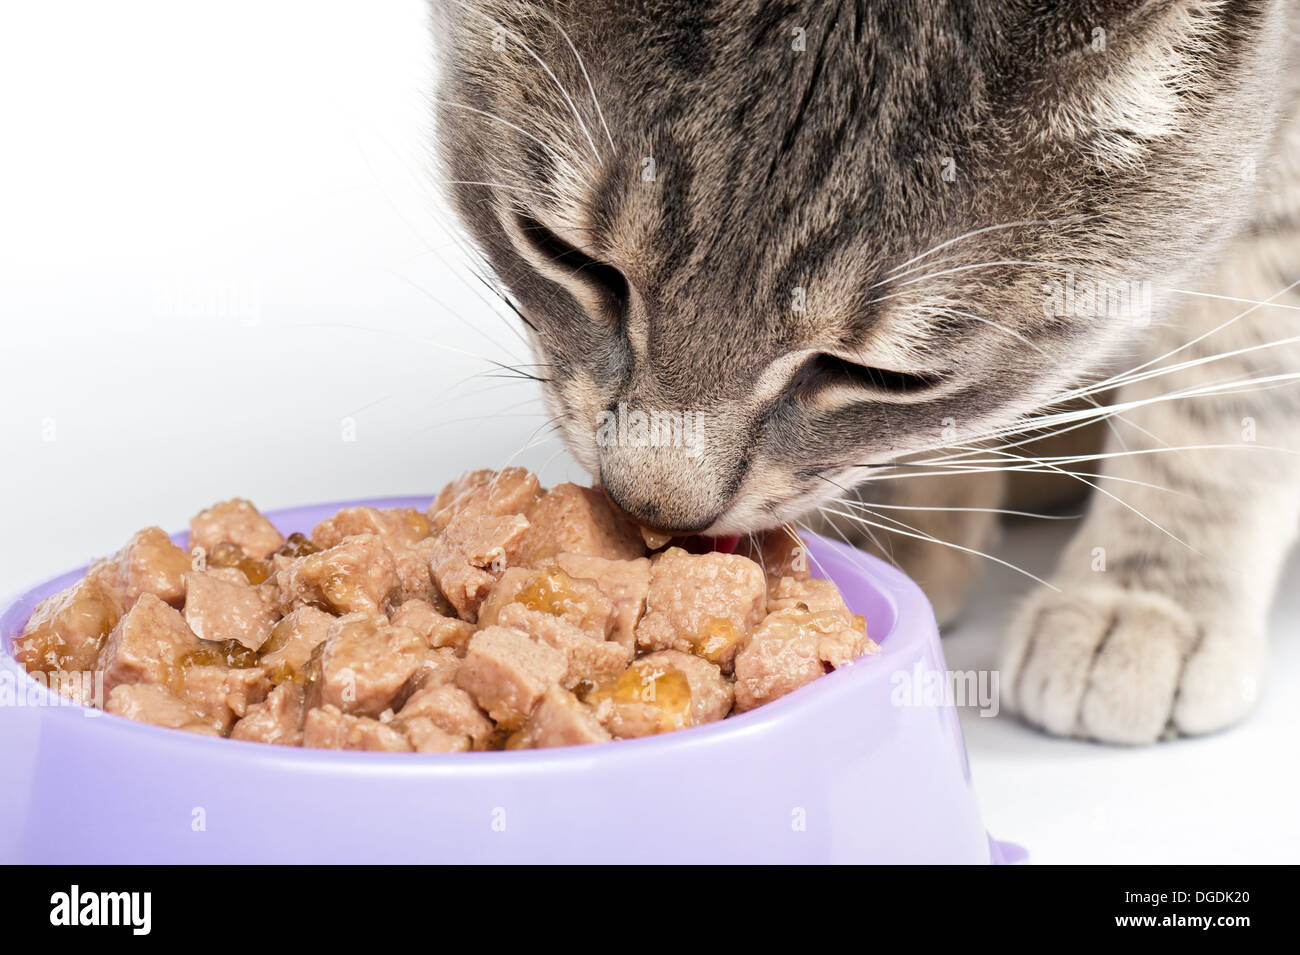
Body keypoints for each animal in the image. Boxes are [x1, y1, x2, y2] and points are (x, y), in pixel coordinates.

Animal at [434, 0, 1300, 748]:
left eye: (883, 376)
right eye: (564, 254)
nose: (651, 506)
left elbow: (1229, 384)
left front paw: (1150, 589)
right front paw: (905, 525)